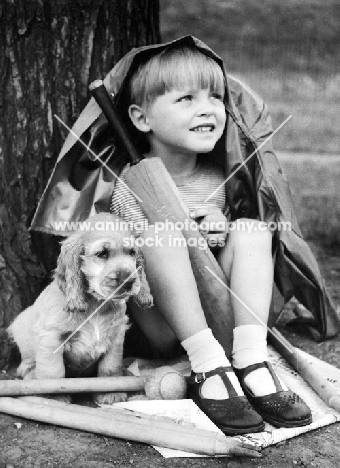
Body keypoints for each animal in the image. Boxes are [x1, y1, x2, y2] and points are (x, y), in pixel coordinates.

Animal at [7, 214, 153, 404]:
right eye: (102, 253)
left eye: (132, 253)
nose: (129, 281)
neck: (97, 304)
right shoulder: (51, 336)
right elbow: (53, 371)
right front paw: (53, 395)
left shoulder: (116, 335)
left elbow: (110, 366)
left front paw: (111, 392)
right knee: (25, 367)